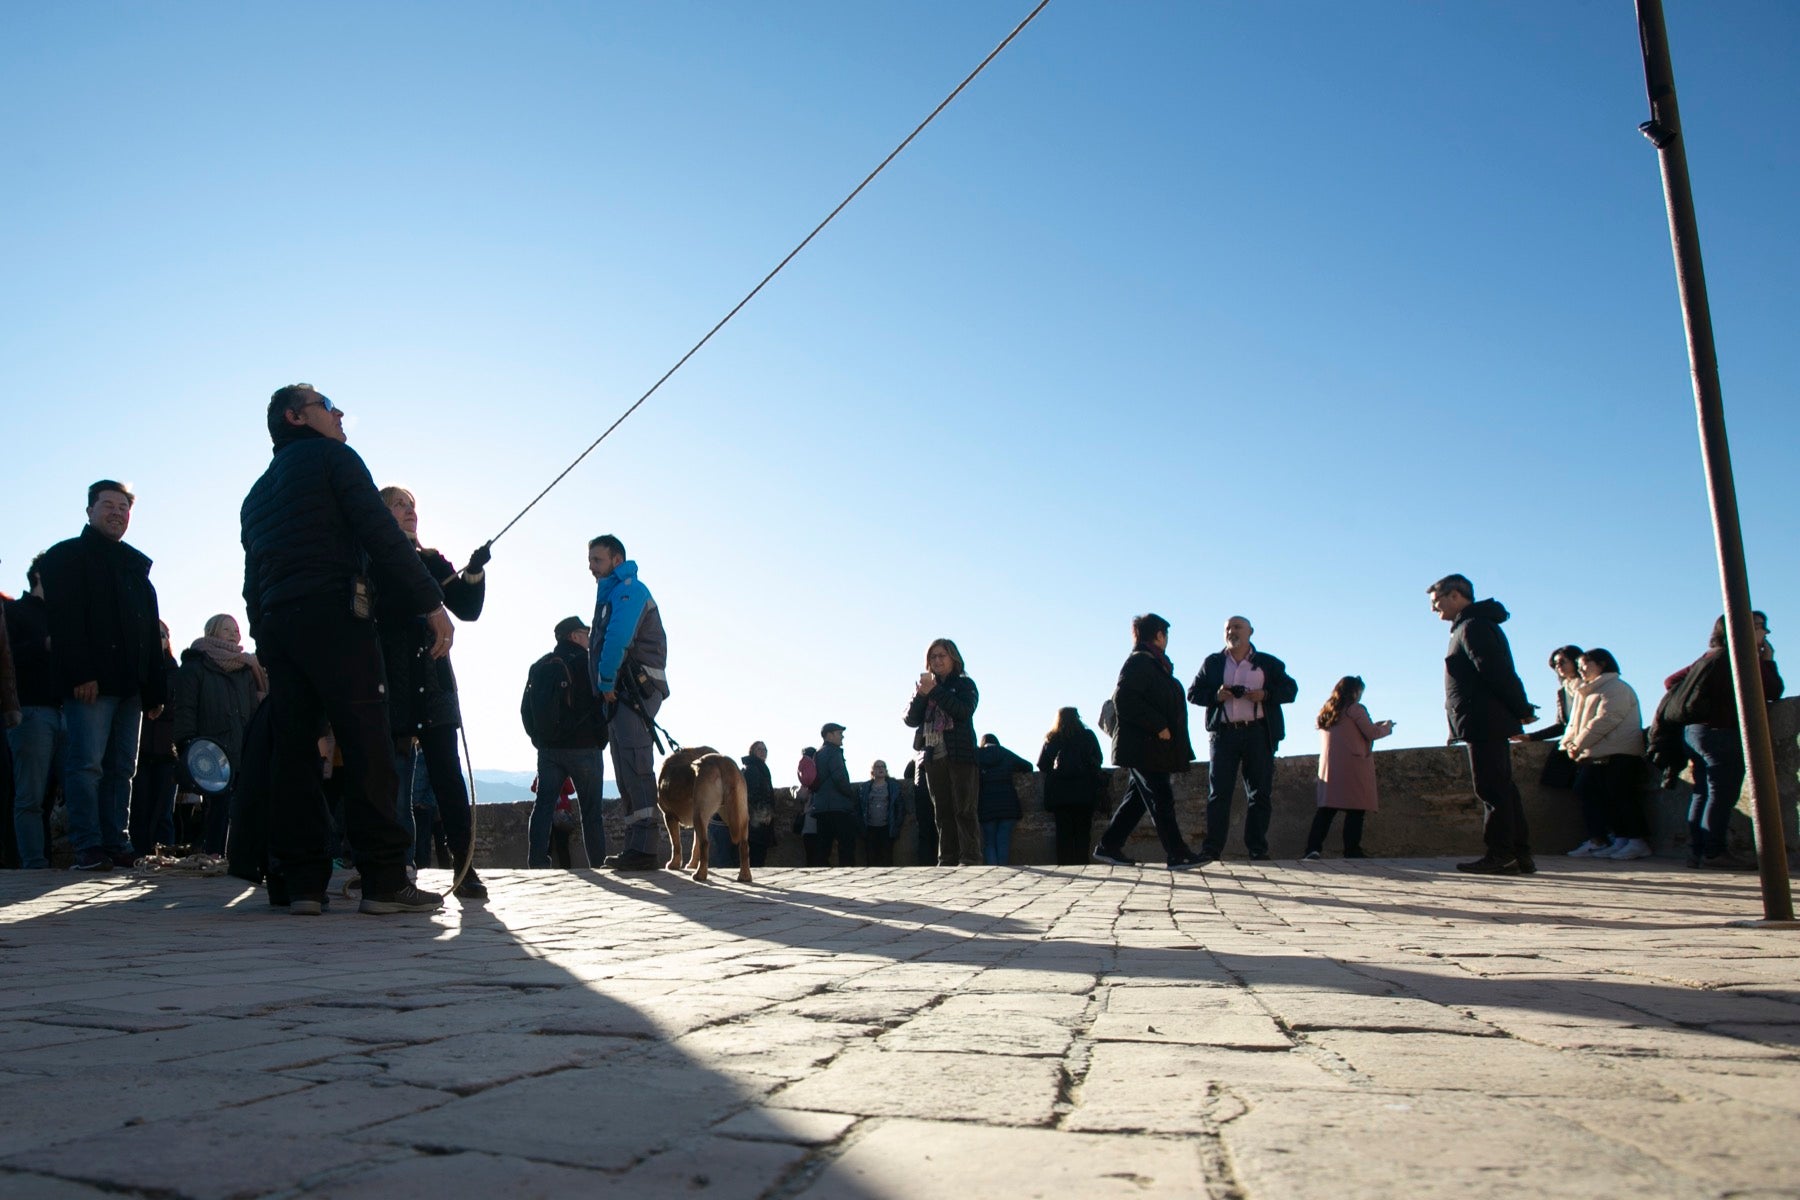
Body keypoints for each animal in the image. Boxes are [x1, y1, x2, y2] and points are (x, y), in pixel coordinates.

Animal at [658, 741, 748, 881]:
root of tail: (722, 761)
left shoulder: (668, 815)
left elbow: (676, 844)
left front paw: (674, 864)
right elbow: (695, 846)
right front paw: (692, 865)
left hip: (699, 814)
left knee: (705, 843)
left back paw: (700, 875)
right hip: (738, 813)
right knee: (744, 844)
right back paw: (744, 876)